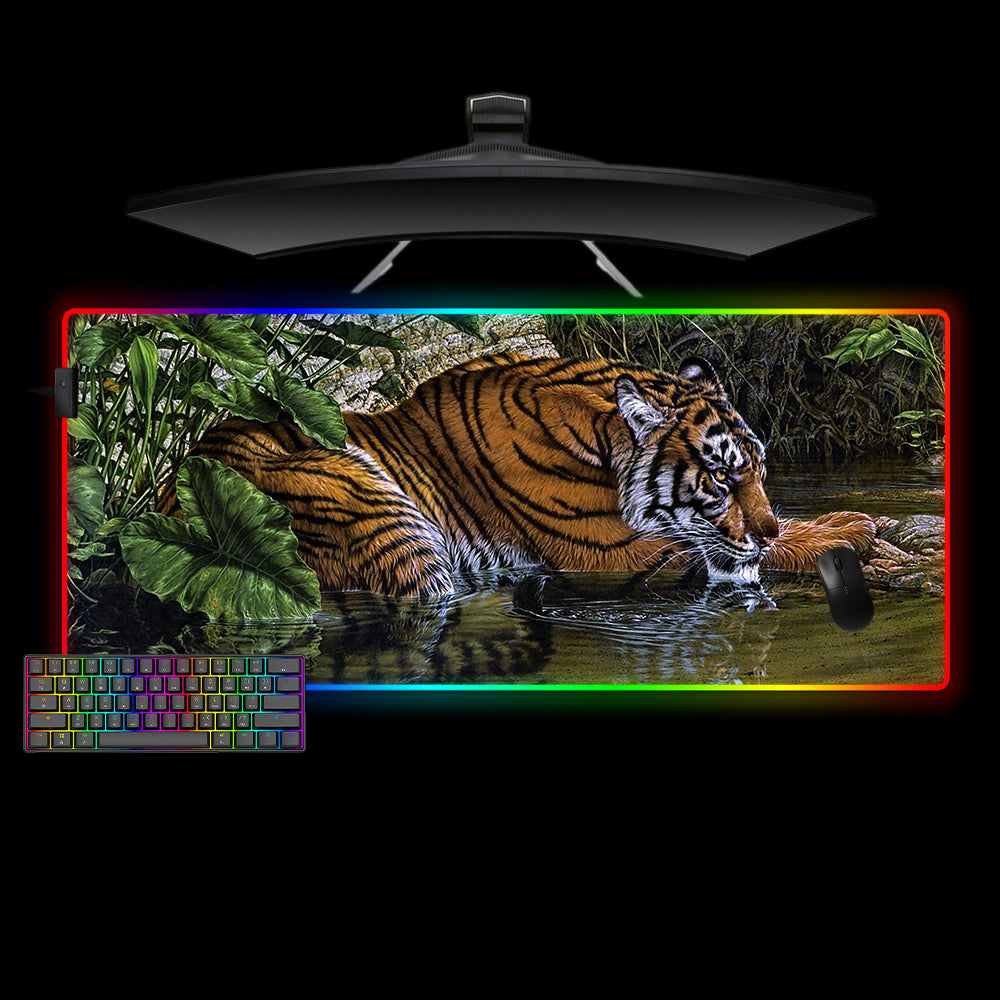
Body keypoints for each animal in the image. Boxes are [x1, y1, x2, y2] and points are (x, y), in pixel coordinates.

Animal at [157, 353, 875, 598]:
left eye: (761, 473)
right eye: (723, 481)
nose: (766, 525)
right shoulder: (619, 552)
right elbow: (741, 553)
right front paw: (851, 531)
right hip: (375, 513)